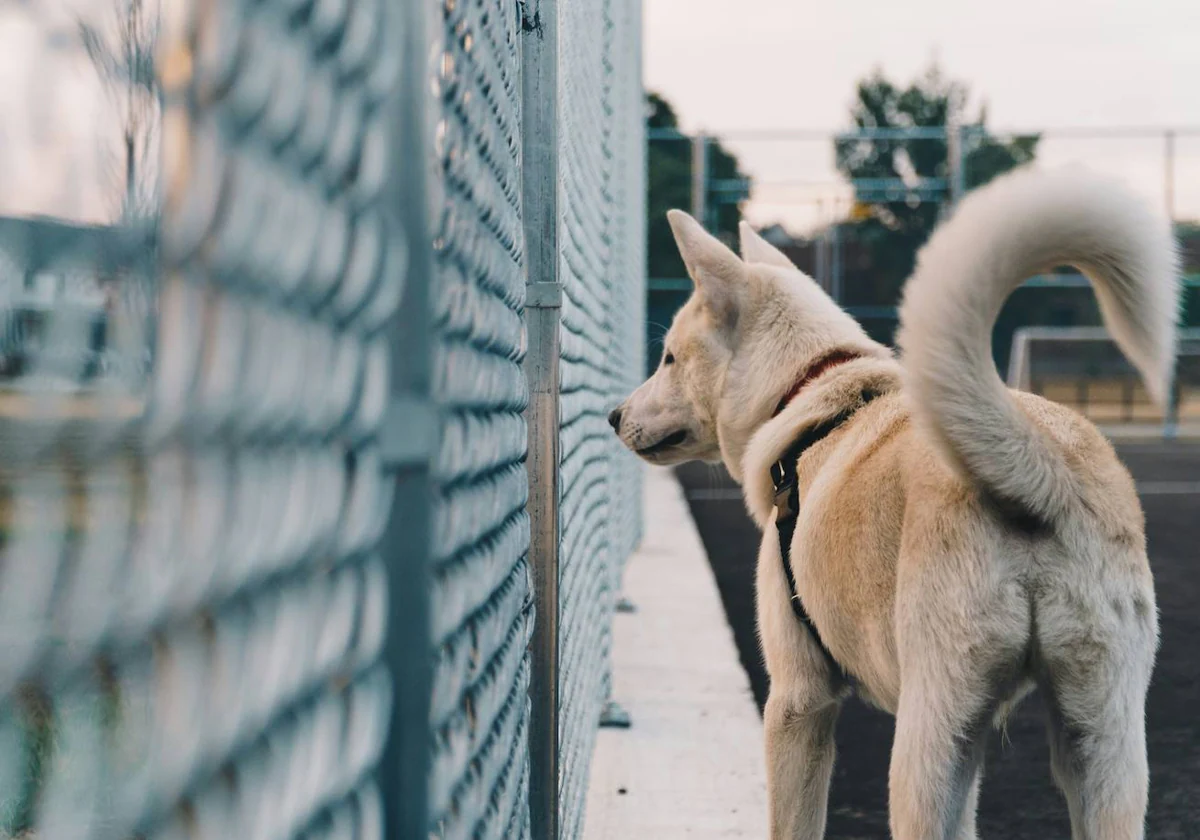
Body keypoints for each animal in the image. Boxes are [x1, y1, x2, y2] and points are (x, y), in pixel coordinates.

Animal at [614, 165, 1176, 840]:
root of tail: (1039, 463)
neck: (809, 392)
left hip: (928, 740)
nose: (613, 415)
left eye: (669, 356)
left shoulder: (799, 700)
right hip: (1099, 742)